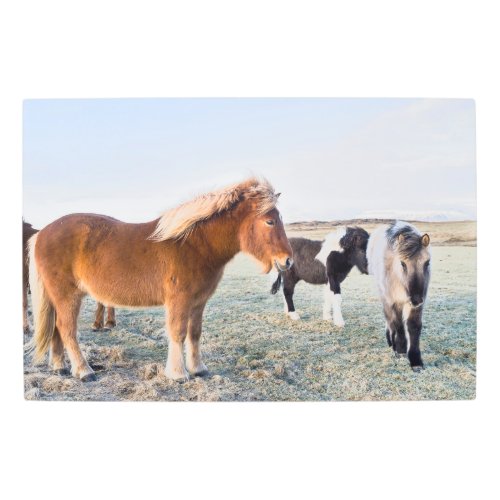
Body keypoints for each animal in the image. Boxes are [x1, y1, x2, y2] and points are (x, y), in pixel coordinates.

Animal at [28, 178, 292, 380]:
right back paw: (84, 371)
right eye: (269, 221)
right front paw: (178, 374)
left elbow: (194, 333)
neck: (194, 245)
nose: (288, 261)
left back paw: (60, 367)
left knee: (56, 329)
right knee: (67, 329)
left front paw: (198, 369)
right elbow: (178, 332)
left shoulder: (199, 302)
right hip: (68, 295)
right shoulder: (179, 300)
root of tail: (41, 234)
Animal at [366, 220, 432, 372]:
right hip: (384, 295)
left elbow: (414, 327)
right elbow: (398, 325)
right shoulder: (394, 302)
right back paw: (391, 341)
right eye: (402, 263)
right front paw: (401, 350)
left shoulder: (416, 306)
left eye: (427, 263)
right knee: (389, 319)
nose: (416, 299)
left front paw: (415, 360)